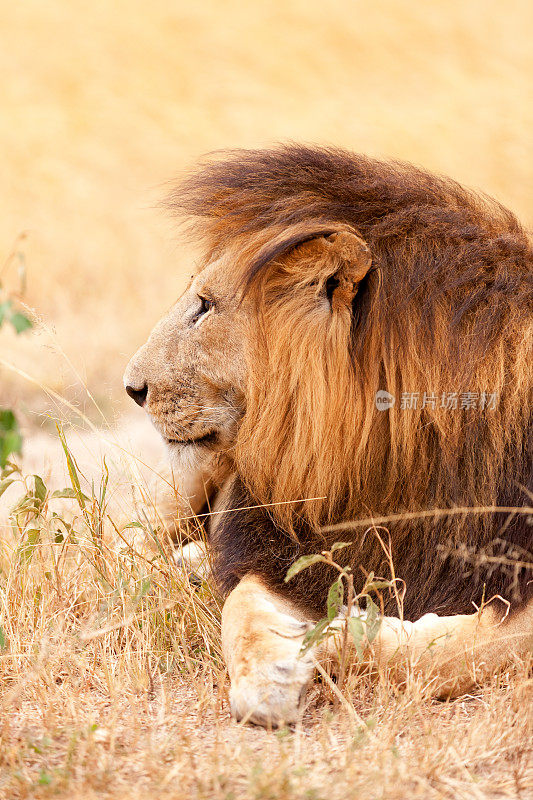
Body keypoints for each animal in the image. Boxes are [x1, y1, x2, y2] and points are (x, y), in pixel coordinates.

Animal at [121, 144, 532, 724]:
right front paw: (274, 674)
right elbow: (238, 609)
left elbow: (460, 649)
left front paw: (341, 634)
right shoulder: (279, 550)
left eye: (205, 305)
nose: (131, 388)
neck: (391, 460)